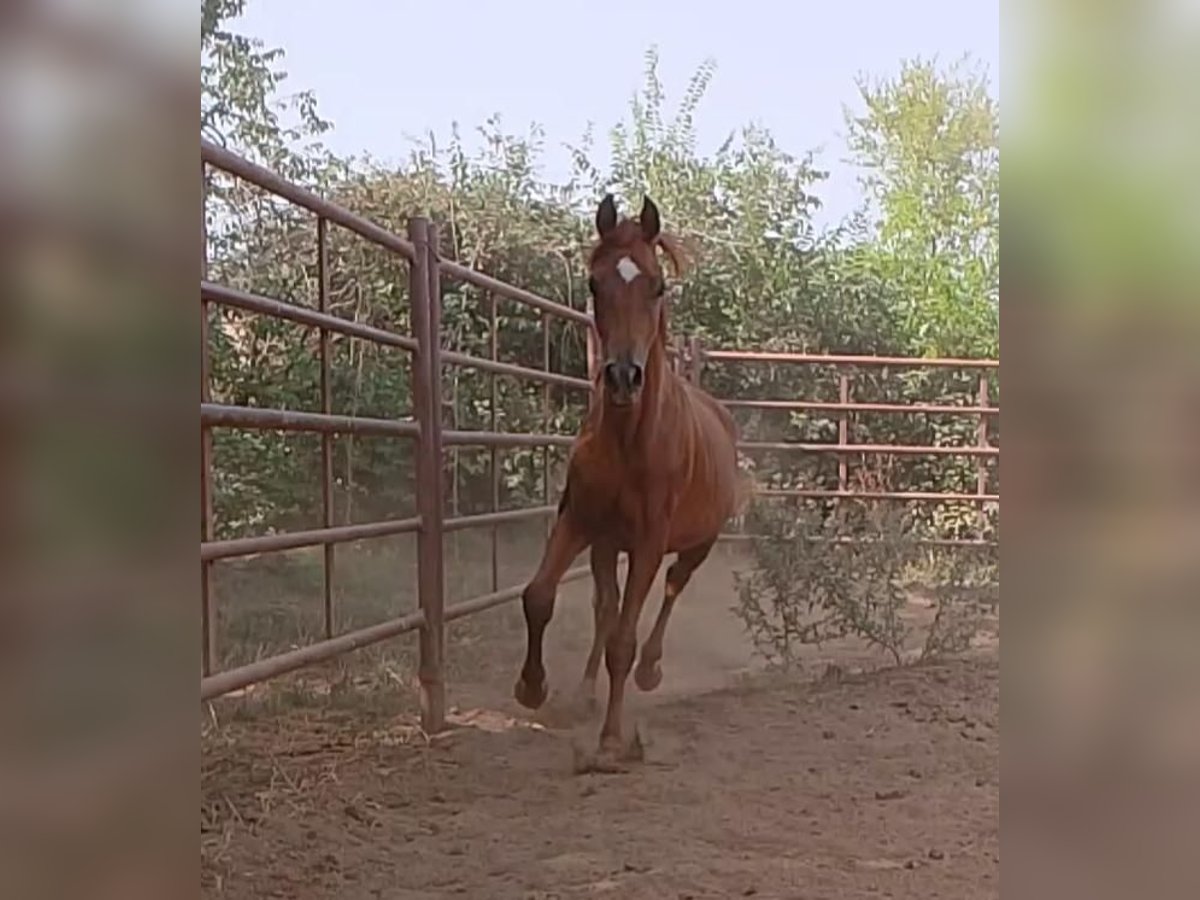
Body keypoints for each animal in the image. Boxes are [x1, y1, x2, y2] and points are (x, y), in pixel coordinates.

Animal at [516, 194, 739, 763]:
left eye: (657, 285)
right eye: (595, 284)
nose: (622, 377)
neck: (629, 441)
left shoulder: (647, 542)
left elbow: (624, 639)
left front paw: (613, 739)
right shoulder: (580, 521)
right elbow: (540, 597)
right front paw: (532, 687)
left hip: (696, 544)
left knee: (672, 590)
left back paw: (651, 671)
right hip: (604, 545)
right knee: (604, 609)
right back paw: (582, 693)